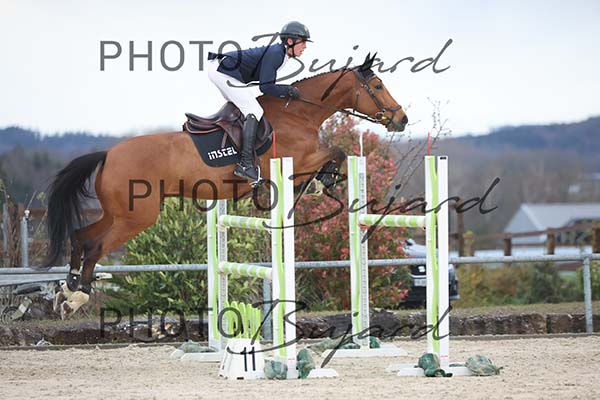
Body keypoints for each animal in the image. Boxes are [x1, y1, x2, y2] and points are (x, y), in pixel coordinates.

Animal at [43, 53, 408, 317]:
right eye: (377, 85)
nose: (401, 119)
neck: (300, 113)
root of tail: (108, 154)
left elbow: (331, 155)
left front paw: (320, 183)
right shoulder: (299, 158)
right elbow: (336, 151)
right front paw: (325, 180)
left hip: (117, 213)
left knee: (81, 236)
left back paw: (66, 288)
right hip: (137, 217)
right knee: (95, 247)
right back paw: (77, 297)